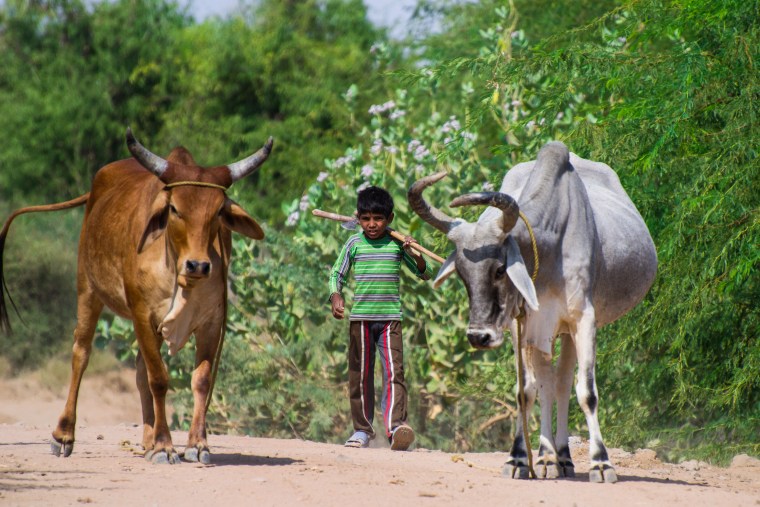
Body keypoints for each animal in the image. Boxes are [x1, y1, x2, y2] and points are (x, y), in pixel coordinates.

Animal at [0, 128, 273, 465]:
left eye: (219, 211)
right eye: (174, 208)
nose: (198, 265)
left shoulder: (212, 322)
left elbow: (201, 380)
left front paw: (196, 444)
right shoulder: (143, 314)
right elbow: (159, 380)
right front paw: (165, 446)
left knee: (140, 370)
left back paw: (147, 439)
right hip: (88, 290)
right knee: (81, 354)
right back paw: (64, 435)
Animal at [408, 141, 657, 483]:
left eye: (500, 269)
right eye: (461, 273)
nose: (478, 337)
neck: (549, 247)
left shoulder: (584, 319)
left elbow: (586, 392)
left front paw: (601, 463)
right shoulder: (521, 325)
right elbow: (525, 392)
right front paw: (518, 459)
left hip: (566, 330)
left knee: (563, 384)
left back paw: (562, 457)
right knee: (549, 386)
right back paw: (549, 457)